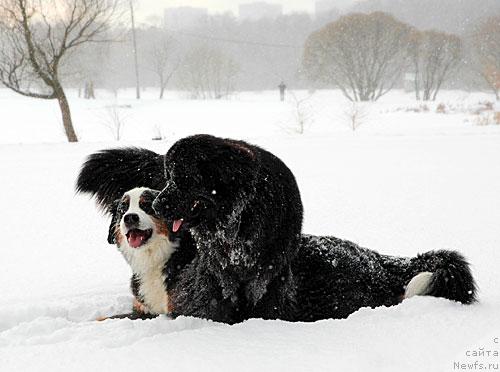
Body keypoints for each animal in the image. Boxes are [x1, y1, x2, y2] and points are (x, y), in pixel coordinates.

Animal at [78, 134, 476, 322]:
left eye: (145, 205)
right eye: (124, 208)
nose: (131, 218)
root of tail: (382, 259)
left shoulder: (187, 308)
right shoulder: (147, 305)